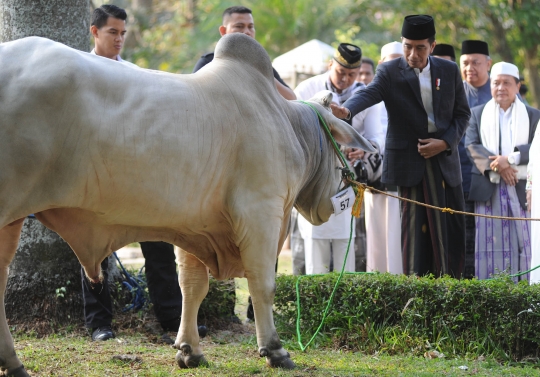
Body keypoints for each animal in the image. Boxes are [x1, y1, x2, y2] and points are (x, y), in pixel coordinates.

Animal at [0, 33, 374, 374]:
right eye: (342, 145)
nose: (353, 179)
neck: (286, 124)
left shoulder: (193, 226)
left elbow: (192, 288)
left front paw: (189, 350)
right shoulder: (261, 212)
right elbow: (262, 284)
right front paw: (275, 350)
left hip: (10, 222)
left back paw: (13, 363)